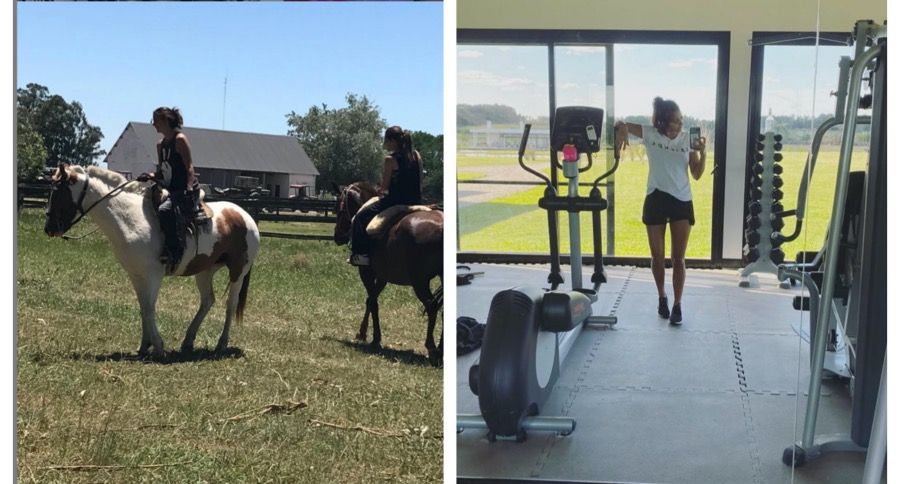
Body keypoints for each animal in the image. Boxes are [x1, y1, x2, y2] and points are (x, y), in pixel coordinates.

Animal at [44, 164, 260, 358]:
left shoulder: (152, 275)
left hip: (238, 271)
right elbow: (143, 308)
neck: (131, 219)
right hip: (204, 271)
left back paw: (221, 344)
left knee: (230, 304)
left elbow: (149, 308)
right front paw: (144, 345)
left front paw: (158, 346)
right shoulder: (136, 275)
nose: (49, 229)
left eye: (58, 193)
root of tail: (245, 216)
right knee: (207, 301)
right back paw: (188, 341)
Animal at [332, 183, 444, 364]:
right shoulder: (382, 276)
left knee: (432, 306)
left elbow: (372, 302)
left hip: (419, 280)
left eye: (337, 208)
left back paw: (433, 349)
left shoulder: (366, 271)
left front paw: (375, 338)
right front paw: (362, 332)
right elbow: (370, 299)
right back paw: (441, 348)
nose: (337, 236)